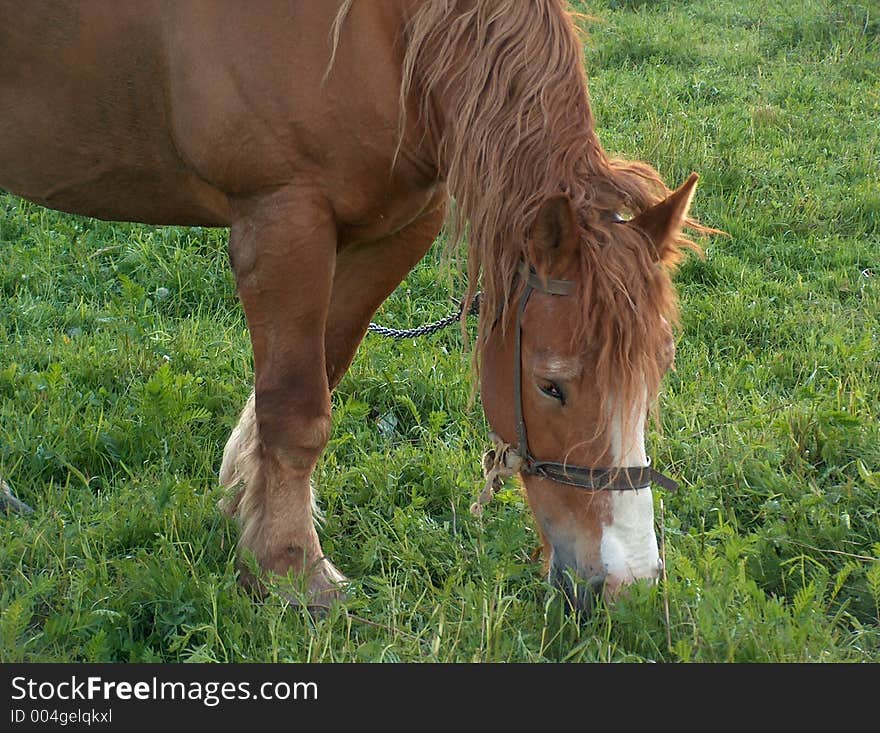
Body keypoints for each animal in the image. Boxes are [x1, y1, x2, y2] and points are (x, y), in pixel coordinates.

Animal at [0, 0, 700, 612]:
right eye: (552, 387)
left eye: (655, 377)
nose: (628, 584)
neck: (382, 32)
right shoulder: (284, 221)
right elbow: (295, 412)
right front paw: (292, 570)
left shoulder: (400, 227)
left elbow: (321, 376)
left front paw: (250, 511)